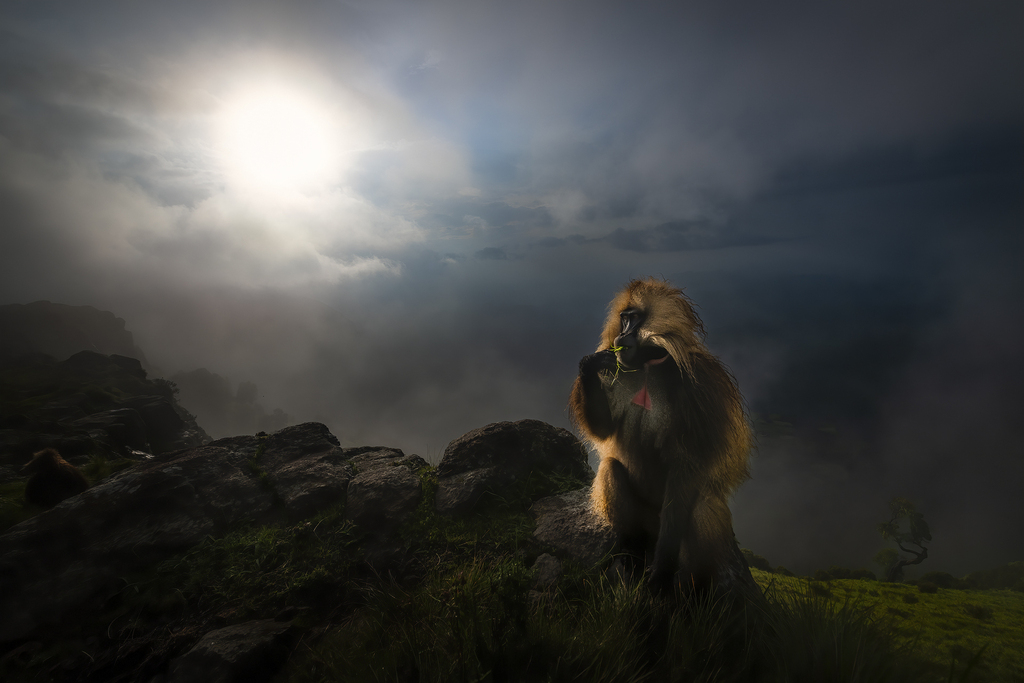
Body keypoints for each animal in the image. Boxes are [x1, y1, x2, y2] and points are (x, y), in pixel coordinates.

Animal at [570, 278, 752, 594]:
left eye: (633, 318)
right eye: (623, 318)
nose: (622, 335)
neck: (648, 365)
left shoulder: (700, 386)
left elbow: (686, 466)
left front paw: (661, 573)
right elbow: (604, 428)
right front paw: (591, 364)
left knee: (703, 503)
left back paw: (691, 588)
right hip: (644, 523)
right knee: (610, 469)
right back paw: (632, 556)